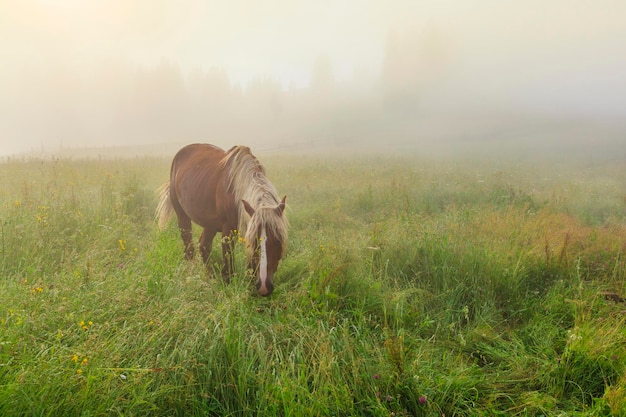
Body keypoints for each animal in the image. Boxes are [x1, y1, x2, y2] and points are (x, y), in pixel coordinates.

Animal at [155, 144, 286, 296]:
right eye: (255, 242)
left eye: (278, 241)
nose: (264, 287)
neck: (237, 190)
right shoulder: (228, 229)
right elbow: (228, 258)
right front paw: (228, 283)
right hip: (182, 216)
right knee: (189, 248)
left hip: (210, 224)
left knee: (204, 246)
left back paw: (209, 276)